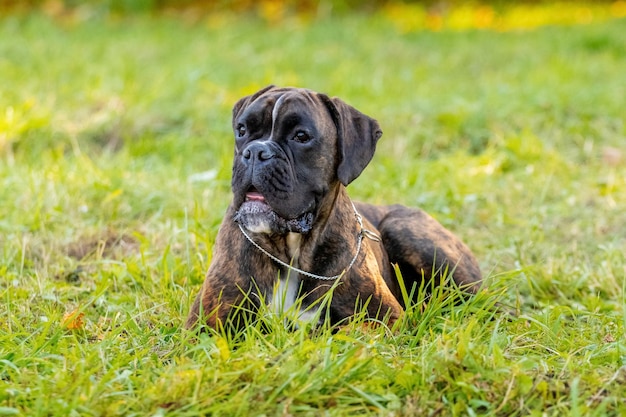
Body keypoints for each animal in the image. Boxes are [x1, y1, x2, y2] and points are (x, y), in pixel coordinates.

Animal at [183, 85, 480, 332]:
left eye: (301, 136)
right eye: (242, 130)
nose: (256, 151)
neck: (291, 251)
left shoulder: (384, 318)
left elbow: (348, 331)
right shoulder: (205, 325)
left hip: (408, 233)